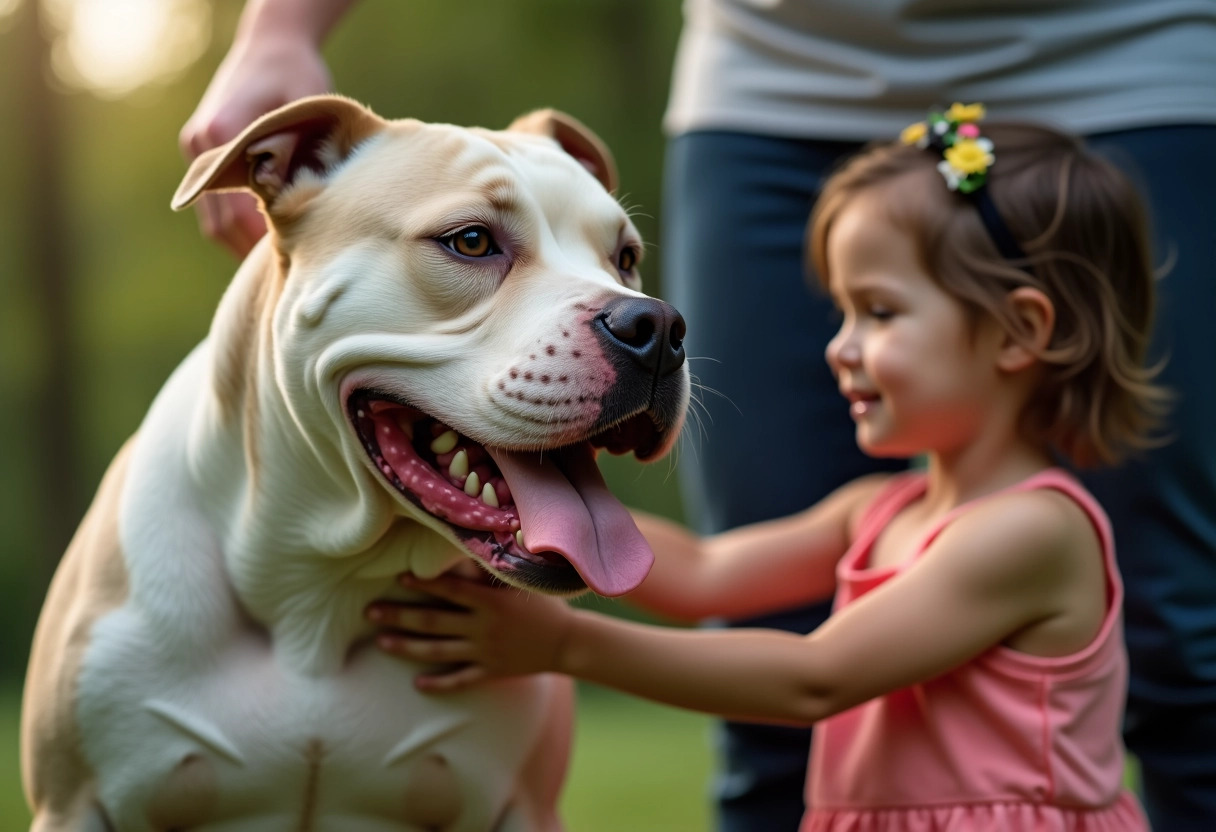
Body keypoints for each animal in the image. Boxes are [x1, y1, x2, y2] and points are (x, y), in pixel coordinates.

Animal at [21, 96, 685, 832]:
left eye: (625, 257)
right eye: (471, 241)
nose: (656, 328)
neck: (319, 590)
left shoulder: (525, 807)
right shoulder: (73, 805)